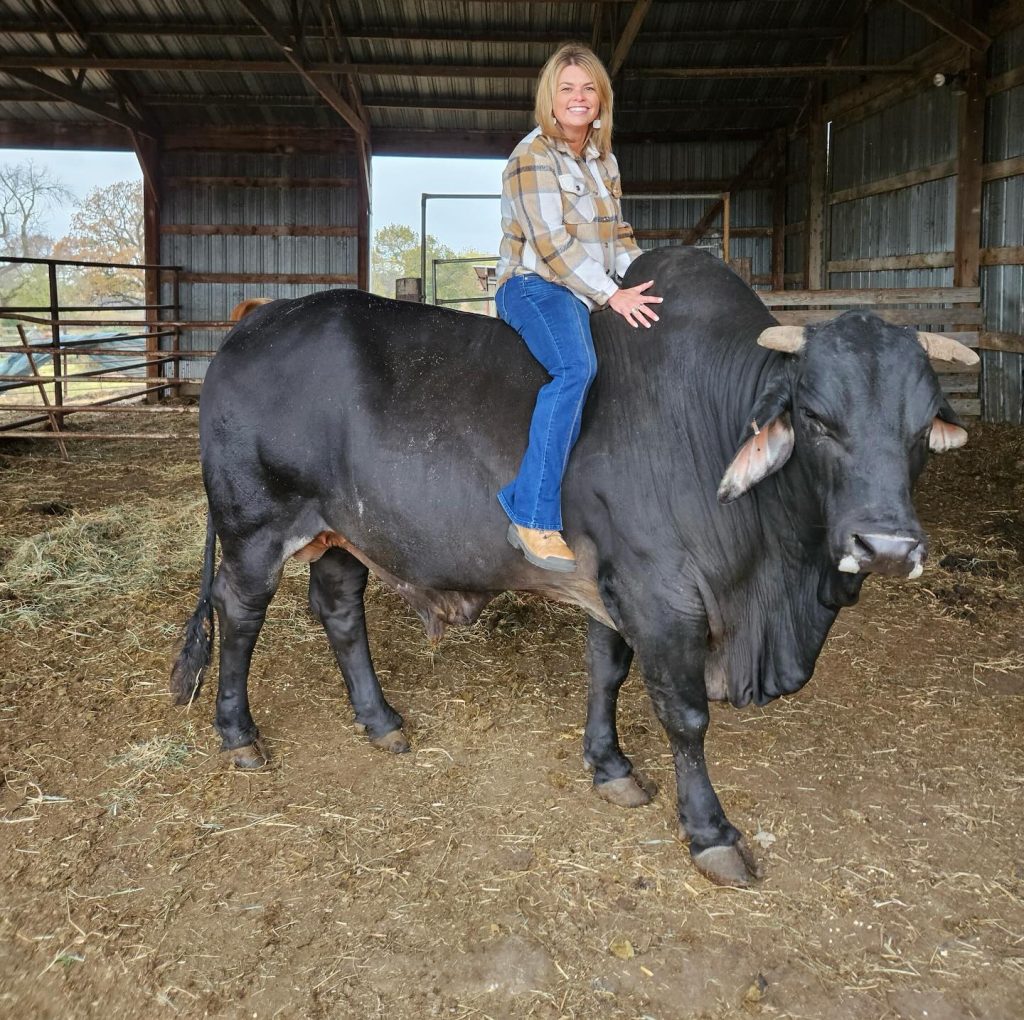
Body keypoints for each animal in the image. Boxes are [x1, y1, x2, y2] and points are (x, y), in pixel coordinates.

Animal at [171, 247, 976, 886]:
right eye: (815, 418)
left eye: (922, 423)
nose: (886, 547)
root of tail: (254, 321)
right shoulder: (659, 595)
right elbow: (685, 715)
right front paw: (710, 832)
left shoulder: (614, 587)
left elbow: (606, 672)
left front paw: (609, 766)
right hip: (253, 527)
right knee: (238, 614)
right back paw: (239, 734)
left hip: (342, 535)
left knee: (340, 611)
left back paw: (380, 720)